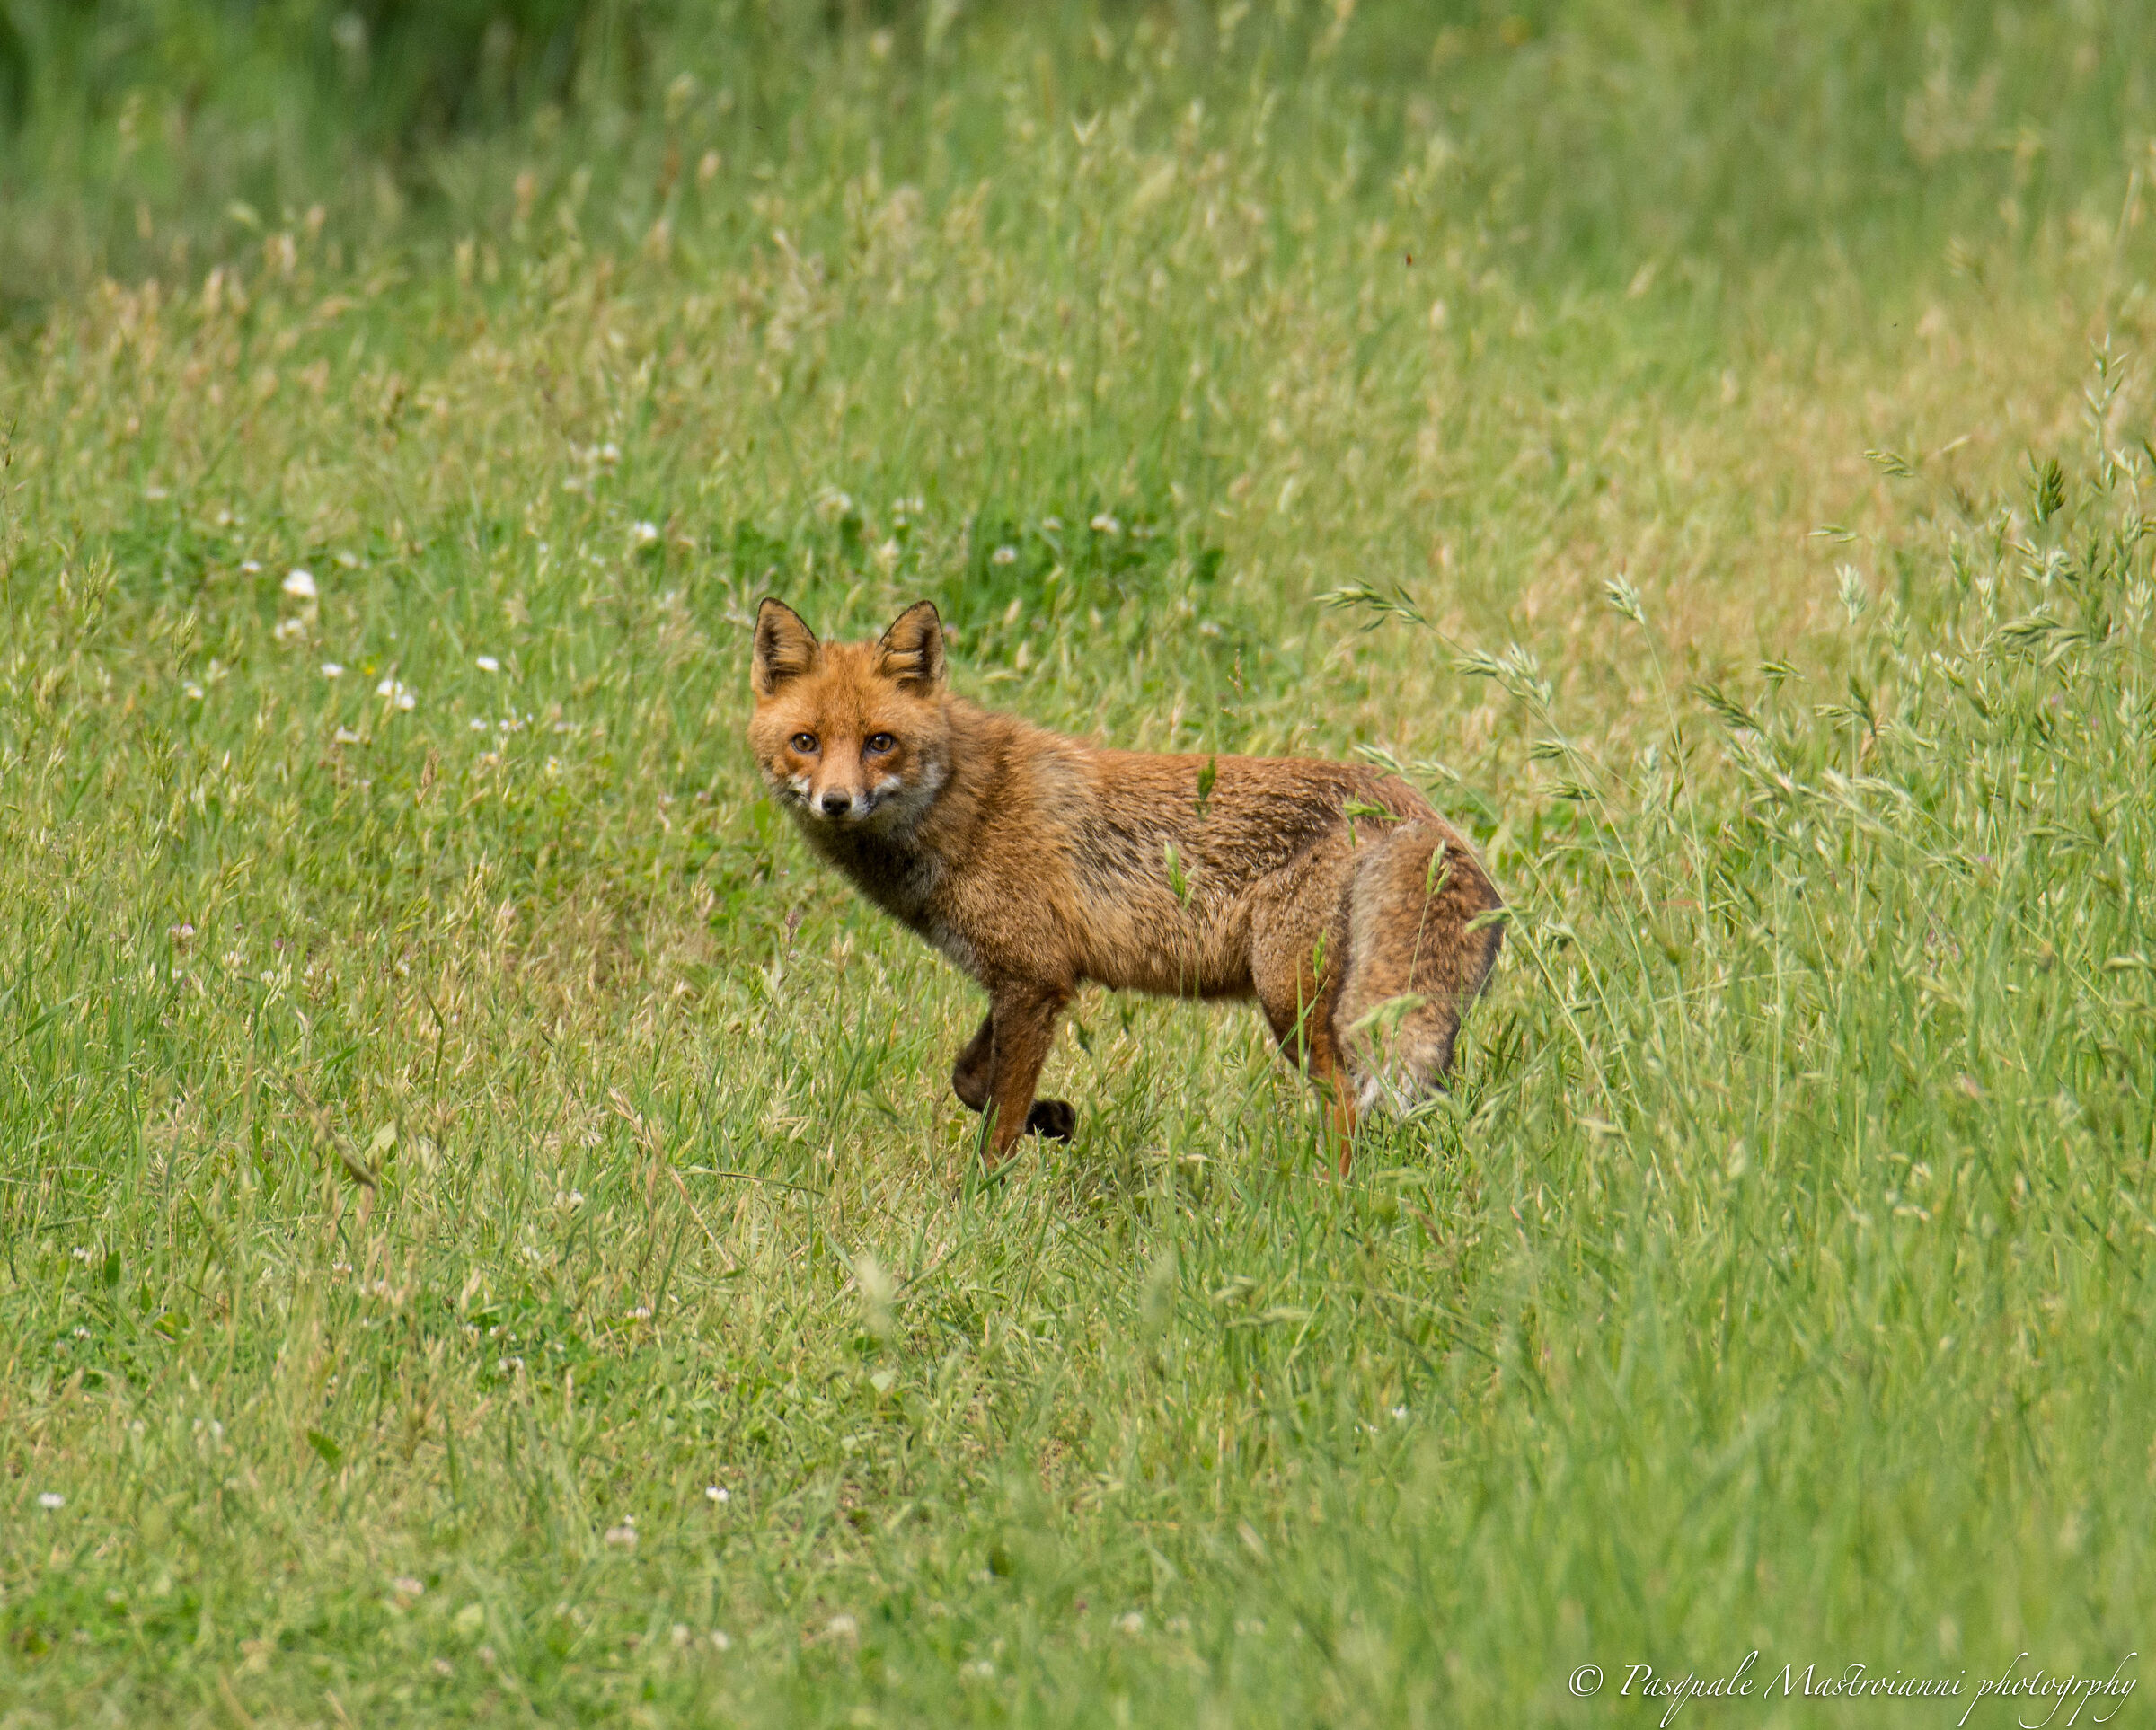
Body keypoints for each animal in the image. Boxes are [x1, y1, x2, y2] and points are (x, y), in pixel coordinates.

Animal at [747, 596, 1504, 1167]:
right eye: (806, 742)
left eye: (880, 743)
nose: (836, 802)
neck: (968, 802)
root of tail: (1412, 808)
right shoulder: (1033, 976)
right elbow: (970, 1080)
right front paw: (1054, 1117)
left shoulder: (1032, 979)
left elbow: (995, 1130)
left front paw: (980, 1210)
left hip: (1291, 1003)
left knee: (1345, 1102)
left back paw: (1326, 1200)